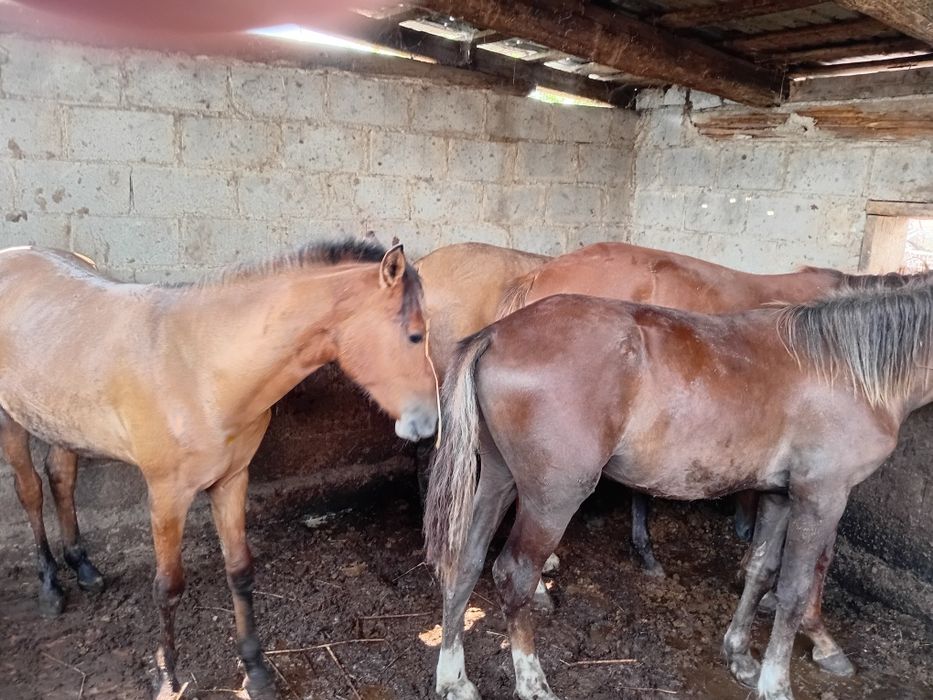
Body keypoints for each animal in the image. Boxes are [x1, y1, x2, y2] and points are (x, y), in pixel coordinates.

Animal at [0, 240, 438, 698]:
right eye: (415, 335)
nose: (428, 424)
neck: (201, 367)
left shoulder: (232, 481)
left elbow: (240, 571)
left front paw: (256, 672)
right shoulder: (166, 495)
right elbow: (168, 586)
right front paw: (168, 677)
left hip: (61, 423)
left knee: (61, 478)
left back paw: (83, 567)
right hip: (13, 420)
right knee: (30, 490)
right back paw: (50, 586)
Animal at [424, 282, 933, 700]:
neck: (848, 370)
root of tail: (496, 333)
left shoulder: (779, 496)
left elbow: (760, 571)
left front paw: (740, 657)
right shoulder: (821, 497)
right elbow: (793, 591)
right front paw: (777, 684)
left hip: (498, 479)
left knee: (465, 562)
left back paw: (454, 680)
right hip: (553, 498)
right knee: (514, 575)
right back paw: (533, 684)